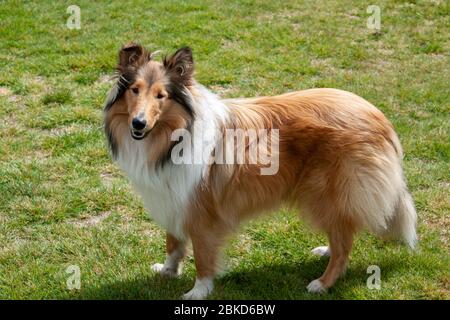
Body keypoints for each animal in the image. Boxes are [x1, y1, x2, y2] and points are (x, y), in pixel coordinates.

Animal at [103, 43, 416, 300]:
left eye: (161, 95)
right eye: (134, 90)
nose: (138, 123)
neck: (170, 139)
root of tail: (379, 117)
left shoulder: (202, 211)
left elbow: (203, 257)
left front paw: (198, 291)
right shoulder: (172, 199)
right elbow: (173, 242)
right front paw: (167, 271)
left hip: (327, 193)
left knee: (344, 244)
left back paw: (322, 282)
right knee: (343, 235)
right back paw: (325, 251)